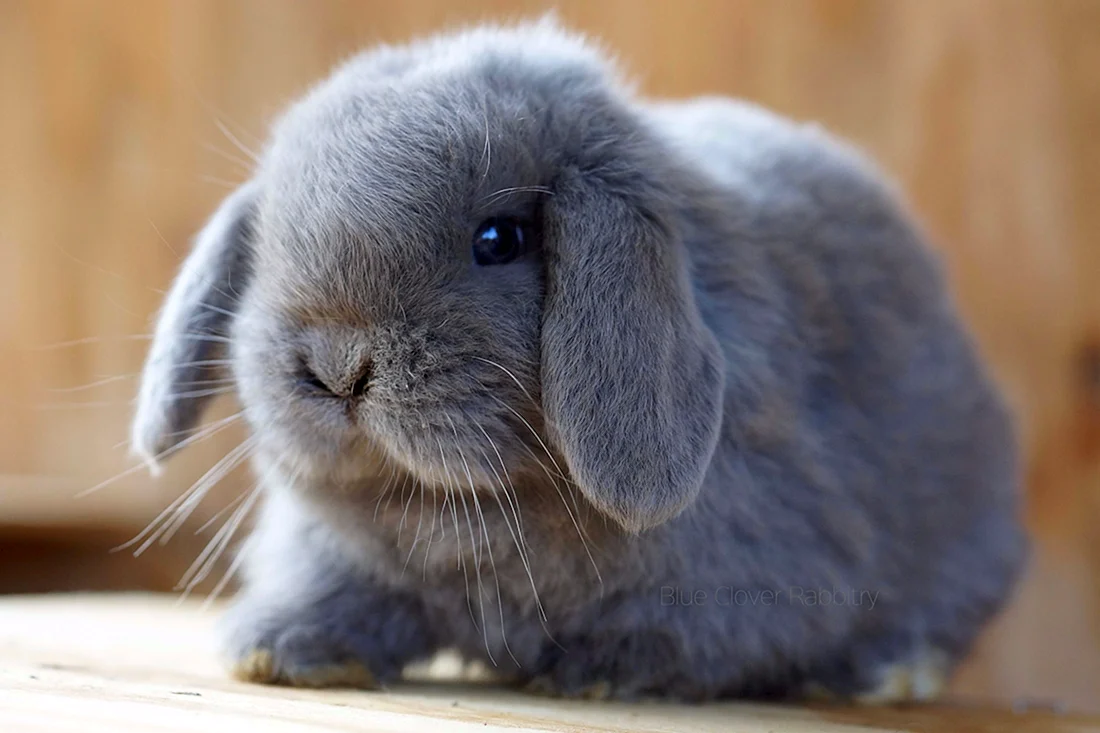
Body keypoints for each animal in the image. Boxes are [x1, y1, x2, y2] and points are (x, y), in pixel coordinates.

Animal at [131, 18, 1027, 703]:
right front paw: (280, 650)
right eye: (269, 244)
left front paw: (595, 671)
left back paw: (889, 675)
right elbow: (341, 592)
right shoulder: (342, 556)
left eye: (500, 239)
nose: (335, 364)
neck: (472, 507)